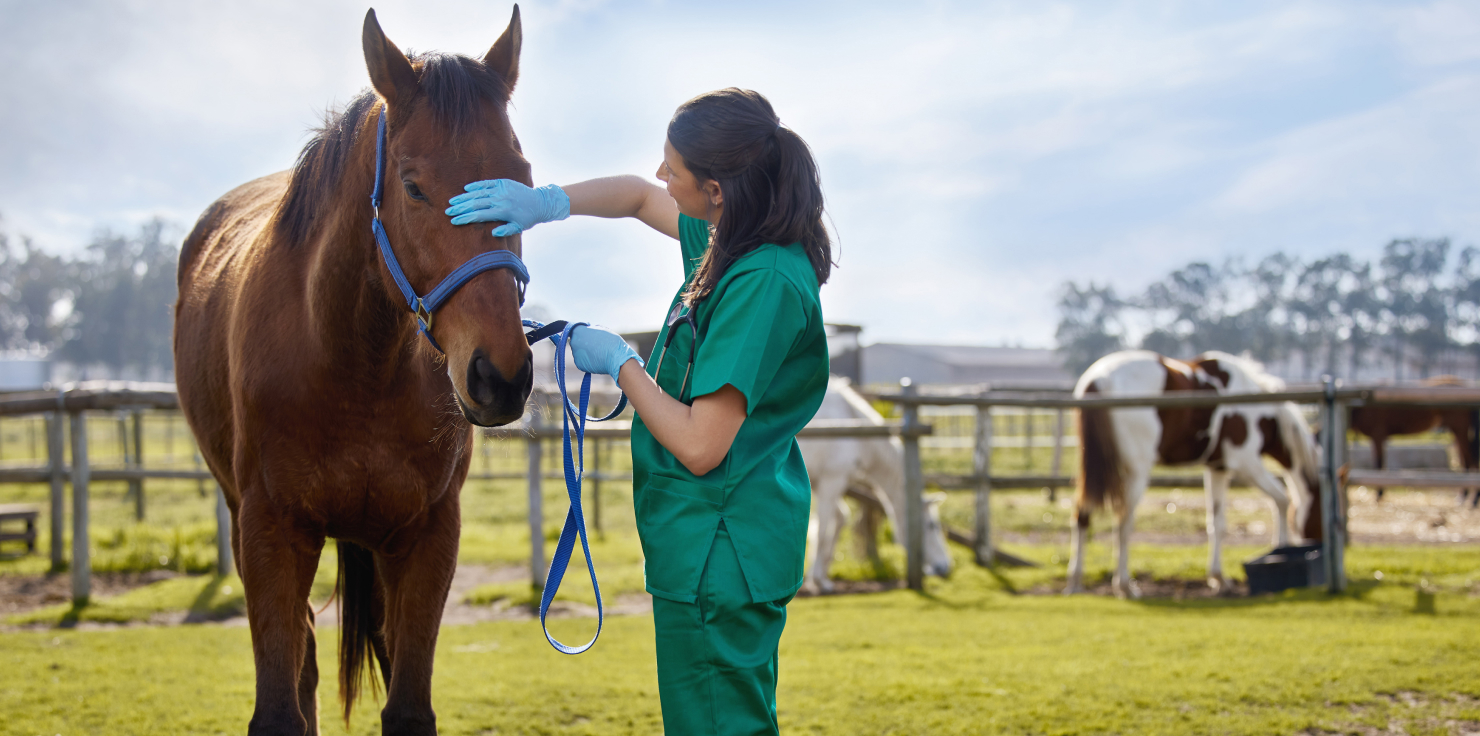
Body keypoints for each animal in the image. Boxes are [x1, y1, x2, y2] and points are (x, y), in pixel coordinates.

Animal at [172, 7, 535, 734]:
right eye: (413, 185)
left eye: (522, 177)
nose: (500, 375)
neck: (352, 364)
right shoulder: (270, 533)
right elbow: (282, 703)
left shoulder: (428, 538)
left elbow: (408, 705)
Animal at [805, 379, 953, 592]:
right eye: (932, 525)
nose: (945, 567)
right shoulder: (831, 480)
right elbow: (823, 531)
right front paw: (816, 581)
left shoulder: (823, 484)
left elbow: (839, 520)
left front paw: (821, 579)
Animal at [1071, 349, 1326, 598]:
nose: (1321, 542)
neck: (1259, 408)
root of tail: (1099, 379)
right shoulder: (1247, 463)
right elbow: (1282, 499)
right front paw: (1280, 548)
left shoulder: (1217, 467)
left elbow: (1217, 522)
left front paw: (1219, 579)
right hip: (1136, 470)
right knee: (1123, 523)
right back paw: (1125, 586)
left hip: (1091, 469)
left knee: (1082, 515)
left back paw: (1075, 582)